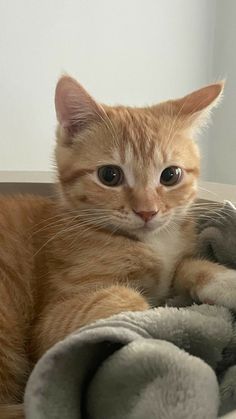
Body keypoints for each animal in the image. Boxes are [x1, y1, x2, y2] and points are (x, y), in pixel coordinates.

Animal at [0, 76, 235, 416]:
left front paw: (226, 279)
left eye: (171, 175)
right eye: (109, 175)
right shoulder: (53, 322)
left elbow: (187, 265)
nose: (148, 211)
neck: (151, 242)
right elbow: (135, 305)